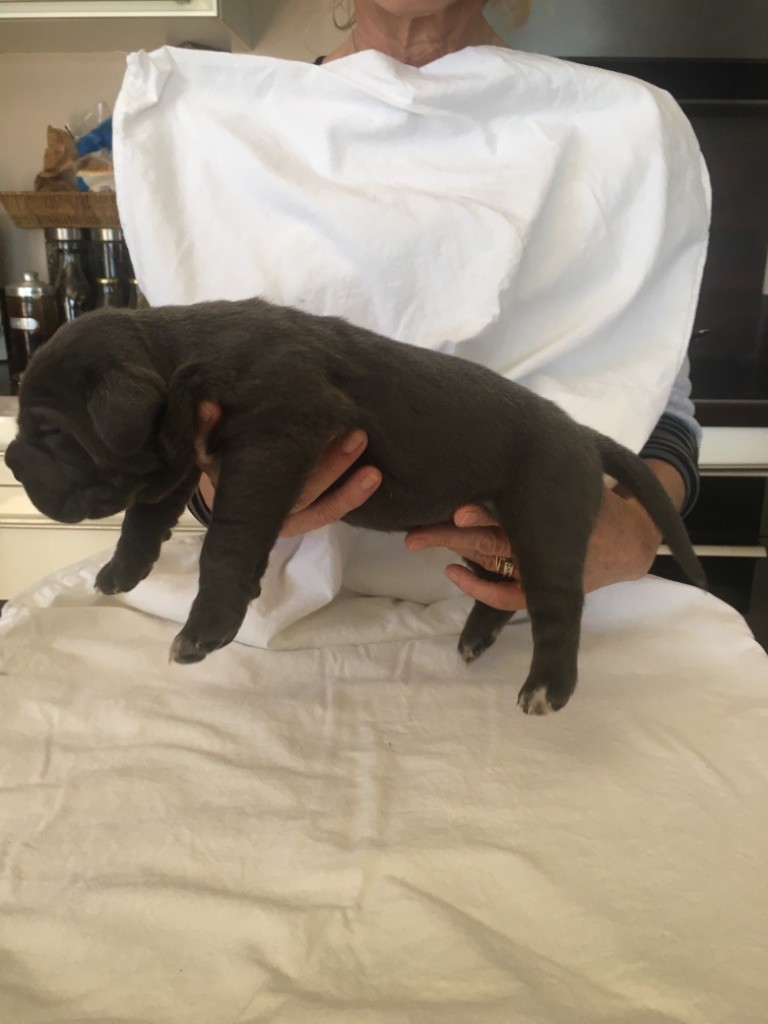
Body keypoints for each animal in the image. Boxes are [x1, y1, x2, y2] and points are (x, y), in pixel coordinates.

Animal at [4, 297, 705, 714]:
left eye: (50, 430)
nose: (9, 458)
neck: (182, 360)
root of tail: (585, 436)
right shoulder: (178, 456)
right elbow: (144, 515)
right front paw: (122, 570)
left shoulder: (272, 439)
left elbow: (226, 542)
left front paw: (206, 629)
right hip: (496, 522)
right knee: (502, 588)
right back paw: (477, 638)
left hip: (544, 517)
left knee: (559, 604)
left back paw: (547, 687)